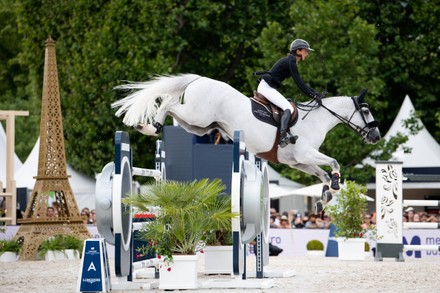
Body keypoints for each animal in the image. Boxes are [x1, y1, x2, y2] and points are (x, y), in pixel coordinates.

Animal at [111, 74, 380, 194]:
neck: (317, 119)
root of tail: (199, 79)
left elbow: (322, 173)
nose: (376, 136)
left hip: (199, 125)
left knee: (172, 108)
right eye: (366, 111)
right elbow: (333, 162)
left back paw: (149, 127)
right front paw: (334, 183)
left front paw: (327, 193)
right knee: (167, 103)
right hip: (197, 116)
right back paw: (148, 127)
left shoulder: (298, 162)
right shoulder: (306, 154)